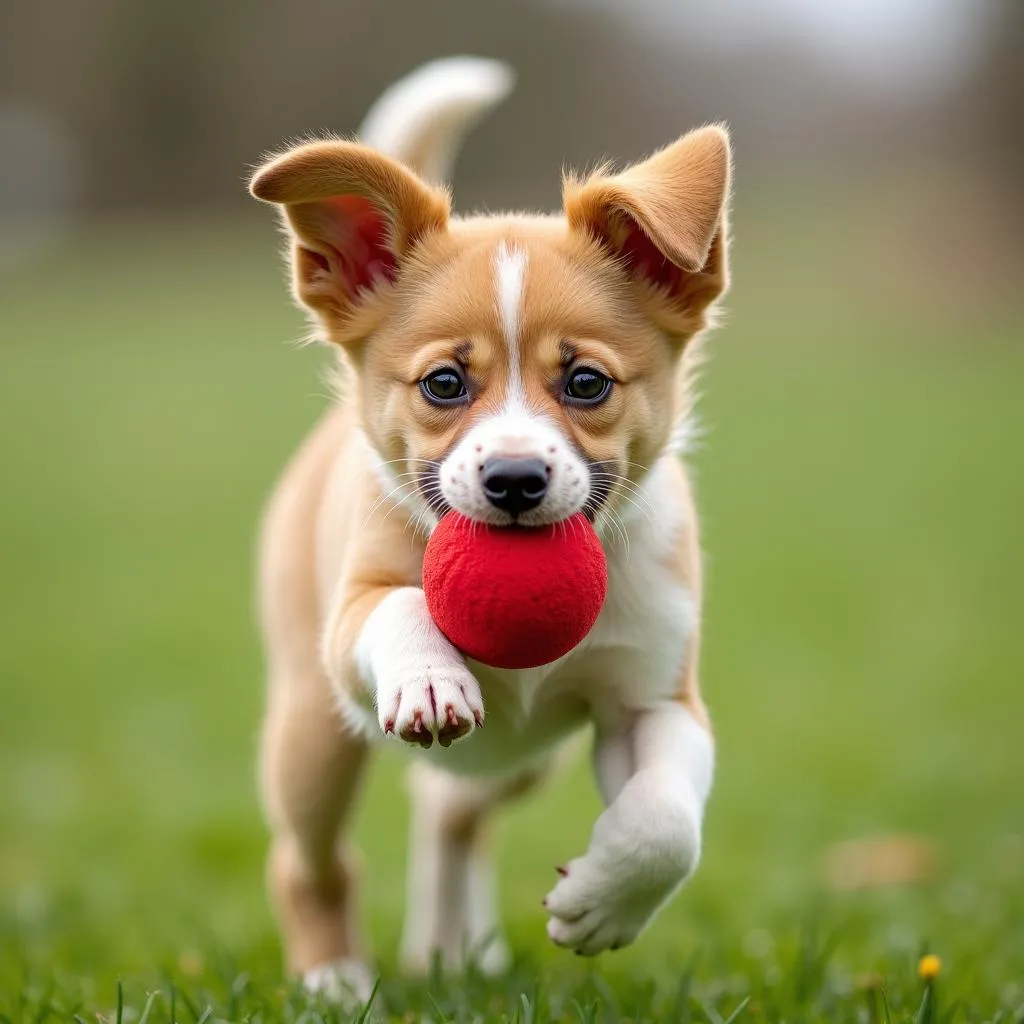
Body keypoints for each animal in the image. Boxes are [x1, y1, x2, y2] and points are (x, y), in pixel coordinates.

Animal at [247, 58, 729, 999]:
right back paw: (334, 979)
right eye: (444, 383)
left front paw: (602, 905)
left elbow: (668, 820)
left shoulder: (654, 698)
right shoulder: (350, 621)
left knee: (450, 811)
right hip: (311, 734)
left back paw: (454, 952)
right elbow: (401, 606)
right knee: (308, 862)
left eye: (585, 383)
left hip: (519, 760)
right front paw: (431, 681)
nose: (513, 479)